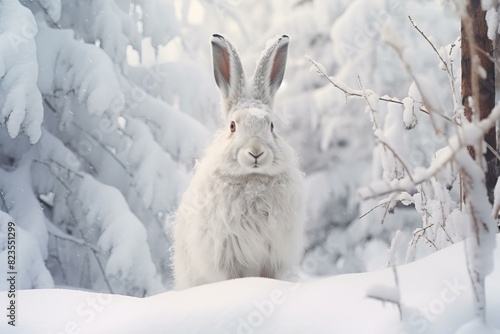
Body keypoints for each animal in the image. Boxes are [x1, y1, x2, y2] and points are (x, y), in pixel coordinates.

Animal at [172, 34, 304, 290]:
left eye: (271, 126)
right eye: (233, 126)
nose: (256, 152)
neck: (252, 180)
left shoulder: (273, 254)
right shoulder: (227, 254)